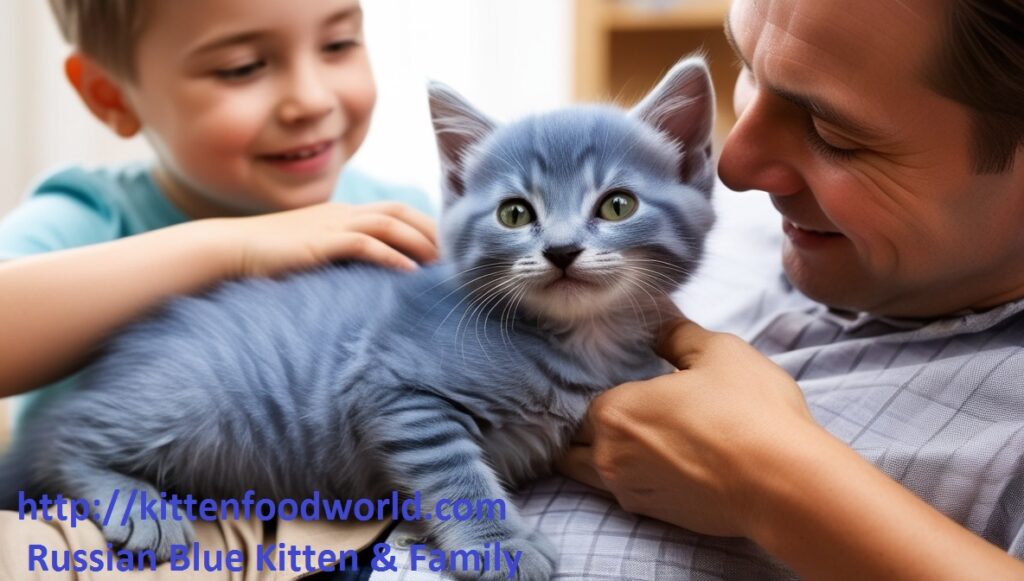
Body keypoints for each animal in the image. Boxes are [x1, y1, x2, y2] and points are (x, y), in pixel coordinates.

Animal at [0, 55, 716, 581]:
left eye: (617, 205)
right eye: (515, 214)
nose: (562, 251)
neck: (574, 336)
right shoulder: (397, 389)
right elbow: (454, 472)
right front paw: (496, 544)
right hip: (186, 400)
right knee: (64, 440)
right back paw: (138, 504)